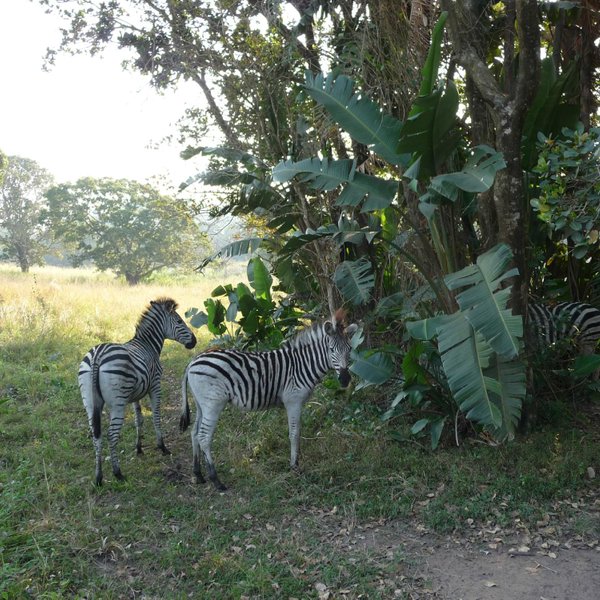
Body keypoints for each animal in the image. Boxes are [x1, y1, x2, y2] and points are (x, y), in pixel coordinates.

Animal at [78, 298, 197, 486]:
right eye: (179, 321)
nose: (194, 341)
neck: (148, 345)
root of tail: (97, 355)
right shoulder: (155, 385)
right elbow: (155, 416)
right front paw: (162, 446)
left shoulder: (135, 394)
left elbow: (138, 420)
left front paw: (139, 448)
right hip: (118, 403)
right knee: (111, 434)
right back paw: (117, 473)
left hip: (89, 402)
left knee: (96, 435)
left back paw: (98, 477)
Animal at [178, 308, 356, 490]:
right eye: (331, 349)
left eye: (350, 349)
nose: (345, 380)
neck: (303, 364)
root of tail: (194, 361)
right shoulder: (293, 401)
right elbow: (294, 433)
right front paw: (294, 466)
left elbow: (297, 432)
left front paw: (296, 462)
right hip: (213, 404)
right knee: (204, 437)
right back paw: (216, 480)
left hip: (201, 404)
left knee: (194, 433)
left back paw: (198, 474)